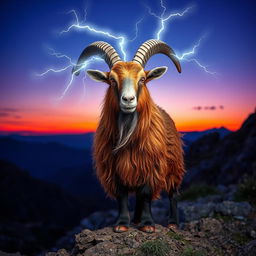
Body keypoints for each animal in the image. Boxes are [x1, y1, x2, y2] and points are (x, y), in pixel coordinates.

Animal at [73, 39, 185, 233]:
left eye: (143, 79)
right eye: (112, 80)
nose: (128, 100)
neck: (128, 134)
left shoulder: (151, 166)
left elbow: (146, 193)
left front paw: (148, 225)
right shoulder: (114, 169)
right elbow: (122, 195)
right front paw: (122, 224)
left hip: (174, 164)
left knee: (173, 192)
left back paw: (172, 223)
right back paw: (136, 219)